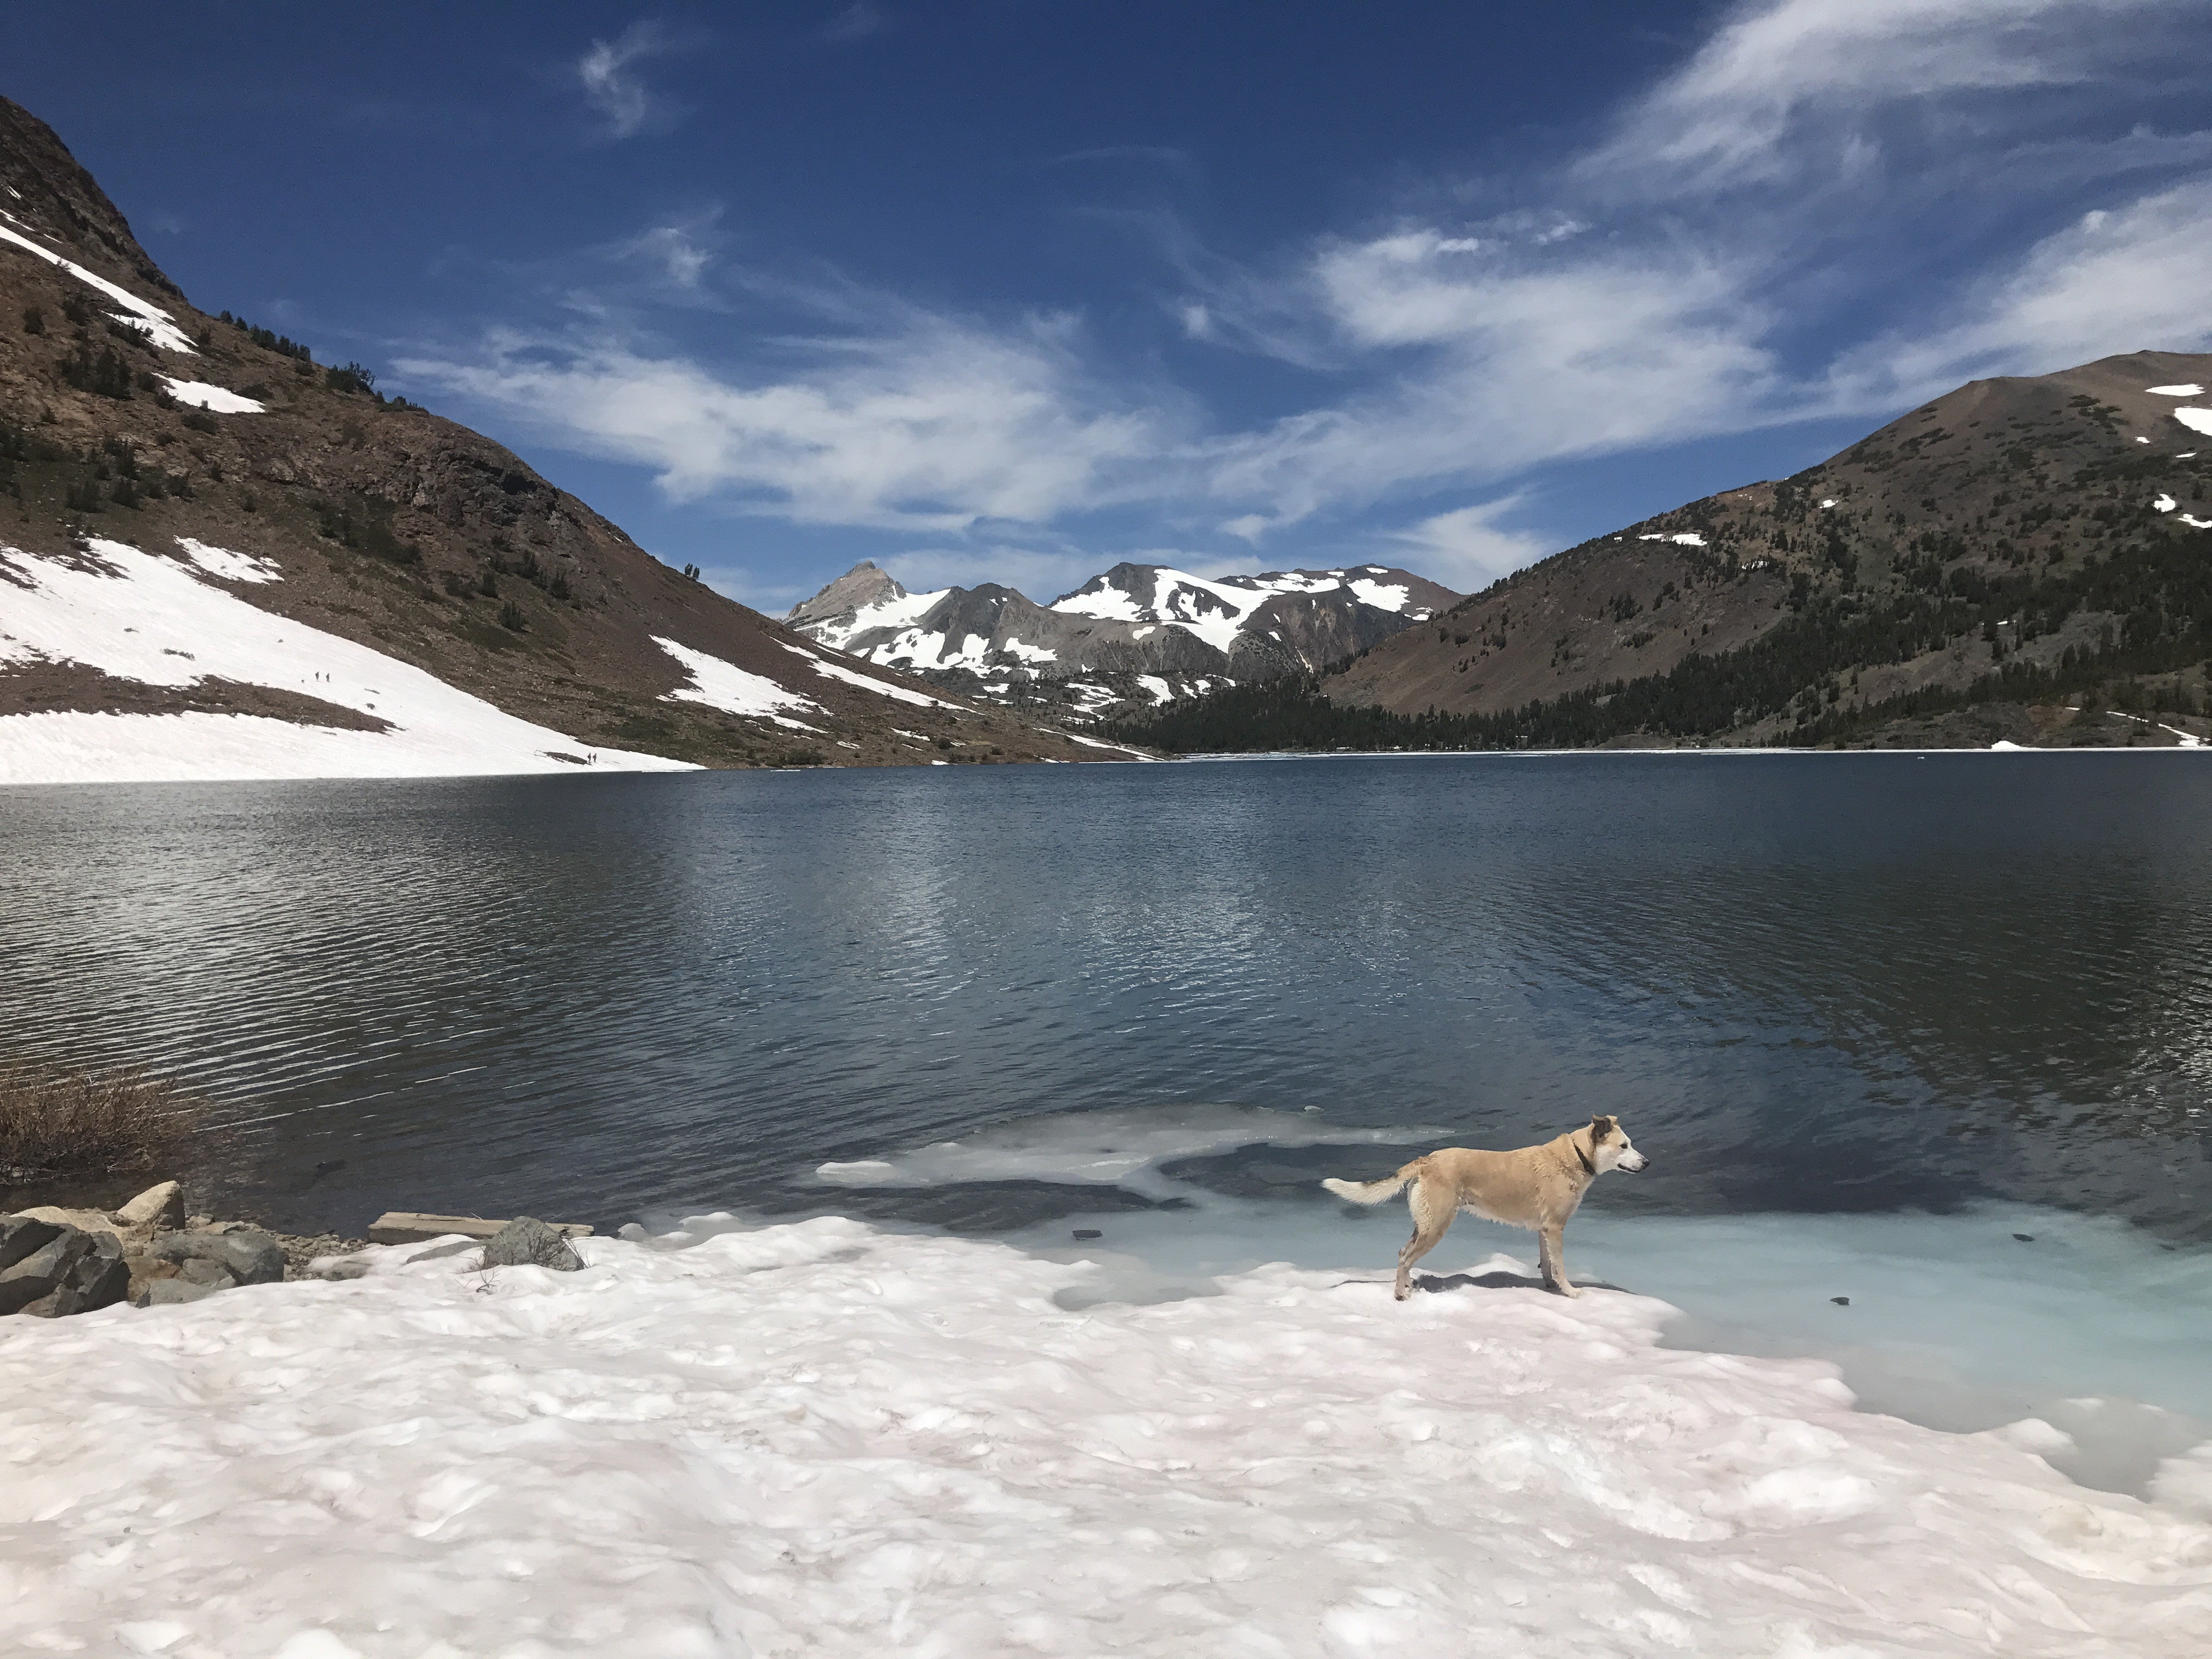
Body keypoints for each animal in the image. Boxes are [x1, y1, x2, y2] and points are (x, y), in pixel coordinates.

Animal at [1318, 1124, 1654, 1309]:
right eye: (1624, 1145)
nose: (1648, 1163)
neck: (1575, 1157)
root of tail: (1426, 1160)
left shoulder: (1544, 1230)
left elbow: (1547, 1263)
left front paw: (1548, 1287)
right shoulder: (1556, 1228)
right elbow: (1560, 1266)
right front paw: (1569, 1292)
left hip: (1424, 1223)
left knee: (1404, 1252)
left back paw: (1408, 1286)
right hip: (1436, 1226)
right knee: (1404, 1257)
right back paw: (1401, 1296)